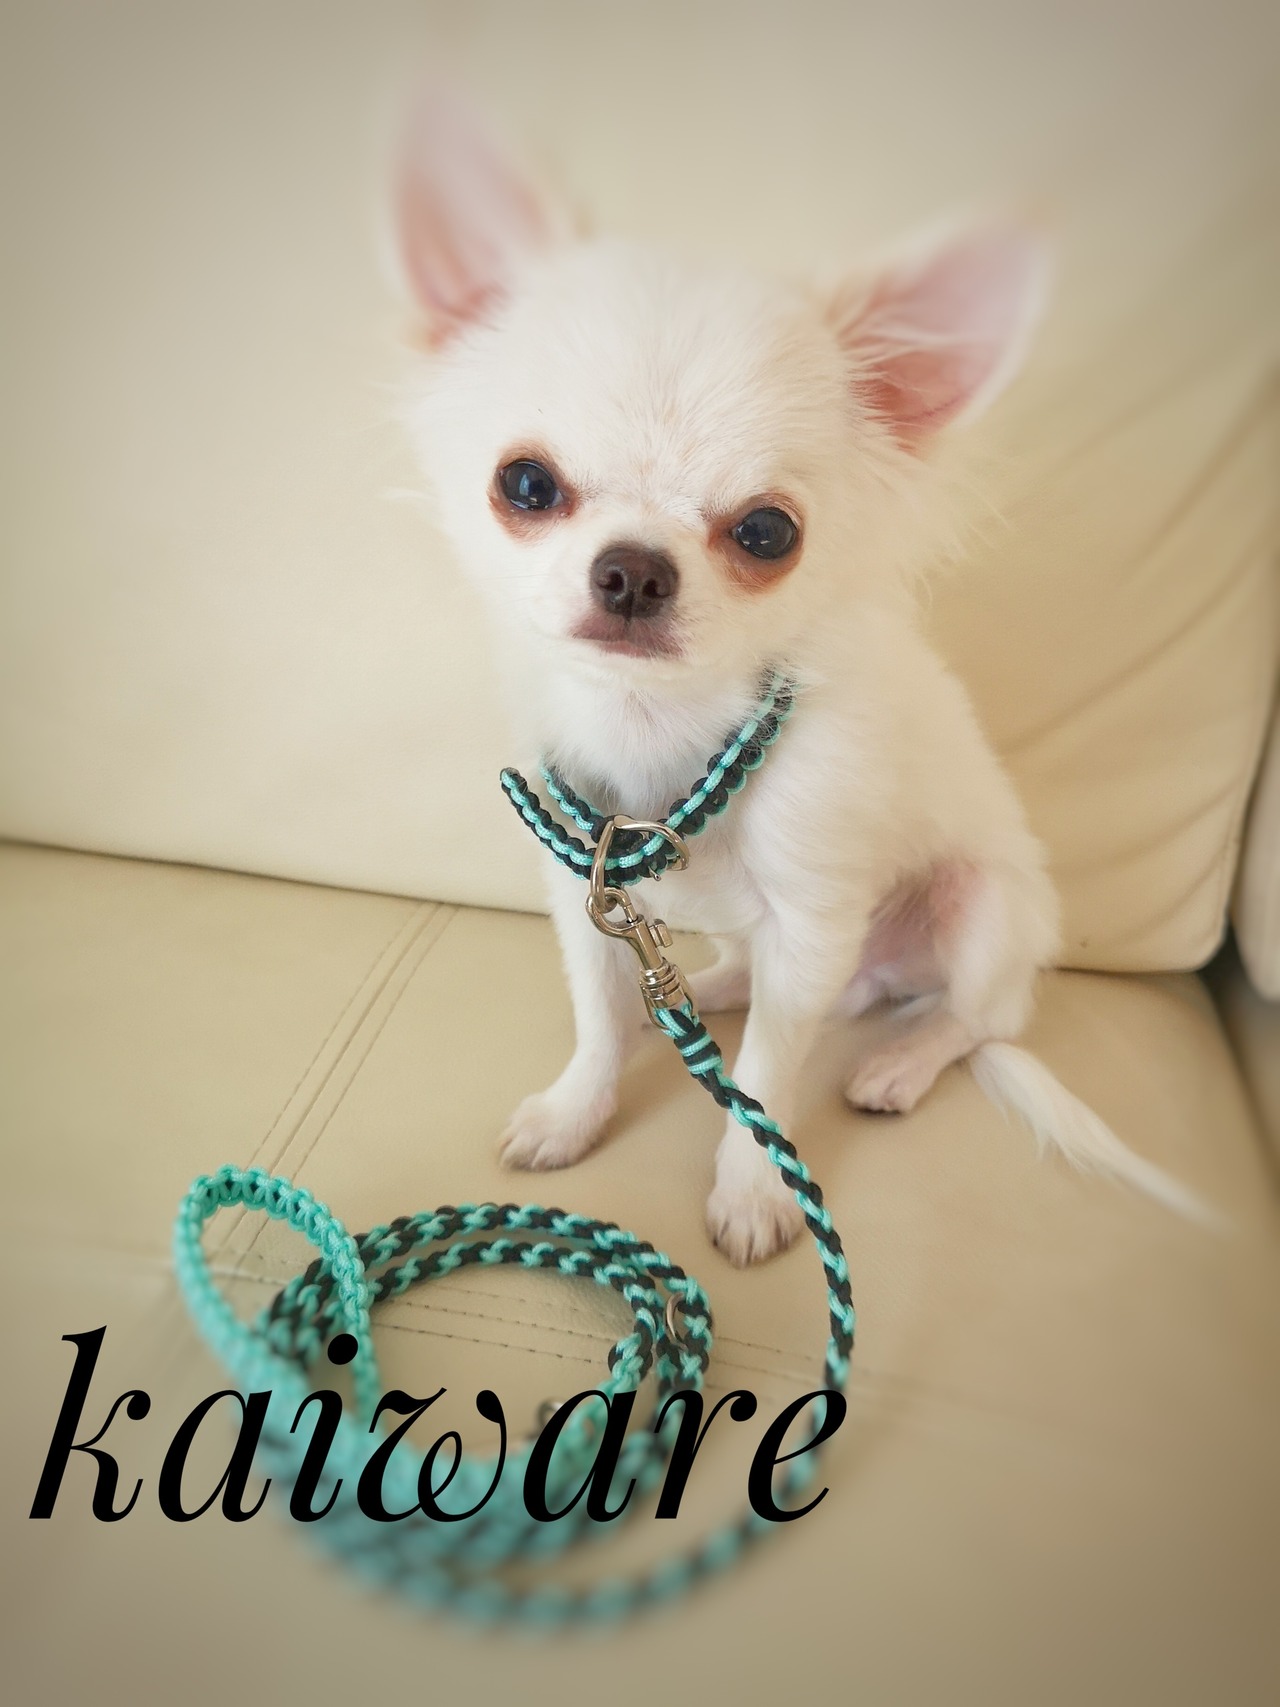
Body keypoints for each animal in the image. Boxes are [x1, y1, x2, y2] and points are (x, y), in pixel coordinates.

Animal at [388, 86, 1205, 1264]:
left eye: (767, 532)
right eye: (526, 484)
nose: (633, 570)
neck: (660, 741)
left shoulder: (813, 923)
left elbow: (767, 1083)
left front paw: (752, 1192)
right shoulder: (586, 897)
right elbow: (600, 1017)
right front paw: (576, 1110)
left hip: (979, 914)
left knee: (972, 1020)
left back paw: (897, 1062)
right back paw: (715, 986)